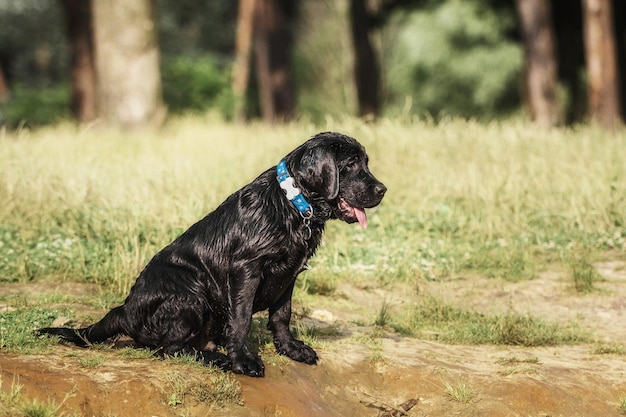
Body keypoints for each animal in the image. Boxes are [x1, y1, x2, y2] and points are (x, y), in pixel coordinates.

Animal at [39, 132, 386, 376]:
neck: (291, 203)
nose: (383, 190)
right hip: (191, 293)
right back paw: (215, 357)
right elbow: (242, 318)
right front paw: (243, 360)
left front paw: (292, 350)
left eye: (366, 163)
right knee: (169, 348)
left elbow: (282, 315)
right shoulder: (246, 268)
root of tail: (123, 311)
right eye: (350, 166)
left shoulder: (289, 273)